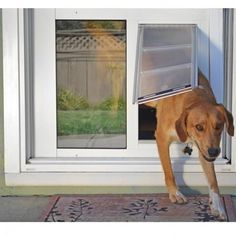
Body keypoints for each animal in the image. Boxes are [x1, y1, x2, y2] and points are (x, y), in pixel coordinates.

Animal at [146, 71, 234, 219]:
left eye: (219, 126)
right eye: (199, 127)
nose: (214, 152)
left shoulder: (204, 150)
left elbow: (213, 181)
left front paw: (217, 205)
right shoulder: (162, 138)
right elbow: (169, 170)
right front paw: (175, 193)